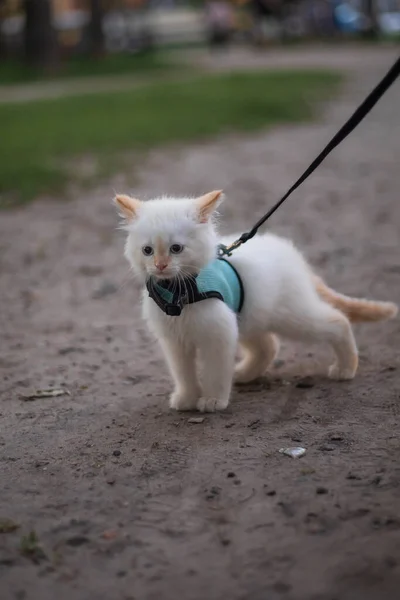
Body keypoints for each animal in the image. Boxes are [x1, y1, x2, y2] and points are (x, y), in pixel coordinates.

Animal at [115, 192, 396, 412]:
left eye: (176, 248)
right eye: (147, 251)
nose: (160, 266)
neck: (178, 290)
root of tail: (292, 254)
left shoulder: (219, 334)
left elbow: (215, 372)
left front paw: (213, 400)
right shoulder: (176, 342)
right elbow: (184, 374)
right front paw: (187, 398)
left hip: (292, 316)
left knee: (337, 321)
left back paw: (346, 368)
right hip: (248, 317)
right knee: (268, 346)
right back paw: (243, 374)